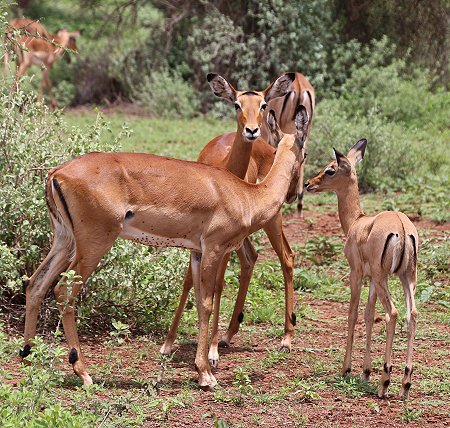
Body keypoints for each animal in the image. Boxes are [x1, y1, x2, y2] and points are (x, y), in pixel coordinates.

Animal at [306, 140, 418, 398]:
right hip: (406, 278)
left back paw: (385, 381)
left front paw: (346, 369)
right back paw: (405, 384)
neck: (357, 222)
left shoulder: (357, 275)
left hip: (384, 277)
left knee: (393, 313)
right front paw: (366, 372)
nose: (308, 184)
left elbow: (353, 314)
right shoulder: (372, 281)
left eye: (330, 169)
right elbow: (368, 315)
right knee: (412, 314)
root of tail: (402, 227)